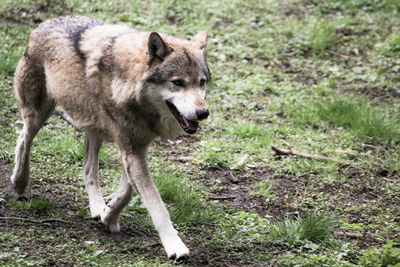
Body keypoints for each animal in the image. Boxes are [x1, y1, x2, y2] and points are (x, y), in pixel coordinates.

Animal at [10, 15, 211, 262]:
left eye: (202, 82)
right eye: (178, 82)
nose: (203, 113)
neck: (129, 84)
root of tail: (47, 22)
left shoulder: (133, 148)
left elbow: (126, 191)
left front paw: (108, 216)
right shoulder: (131, 149)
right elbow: (156, 203)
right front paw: (175, 245)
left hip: (94, 128)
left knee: (88, 168)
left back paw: (97, 207)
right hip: (39, 114)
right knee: (23, 139)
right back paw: (19, 181)